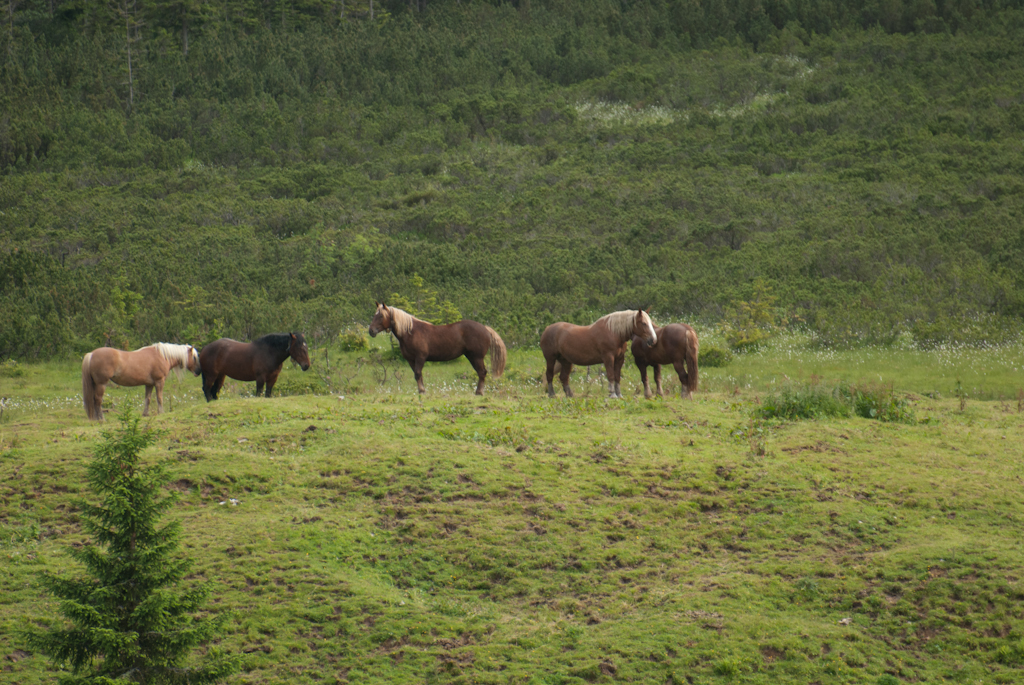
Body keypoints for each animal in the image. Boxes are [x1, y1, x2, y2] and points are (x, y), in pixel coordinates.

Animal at [372, 301, 507, 393]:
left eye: (381, 316)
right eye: (374, 315)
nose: (371, 331)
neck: (411, 332)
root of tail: (485, 328)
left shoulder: (420, 357)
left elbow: (418, 373)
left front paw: (422, 391)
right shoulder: (411, 360)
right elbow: (417, 375)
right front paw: (421, 390)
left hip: (477, 357)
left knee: (482, 372)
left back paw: (479, 392)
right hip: (472, 357)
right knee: (481, 372)